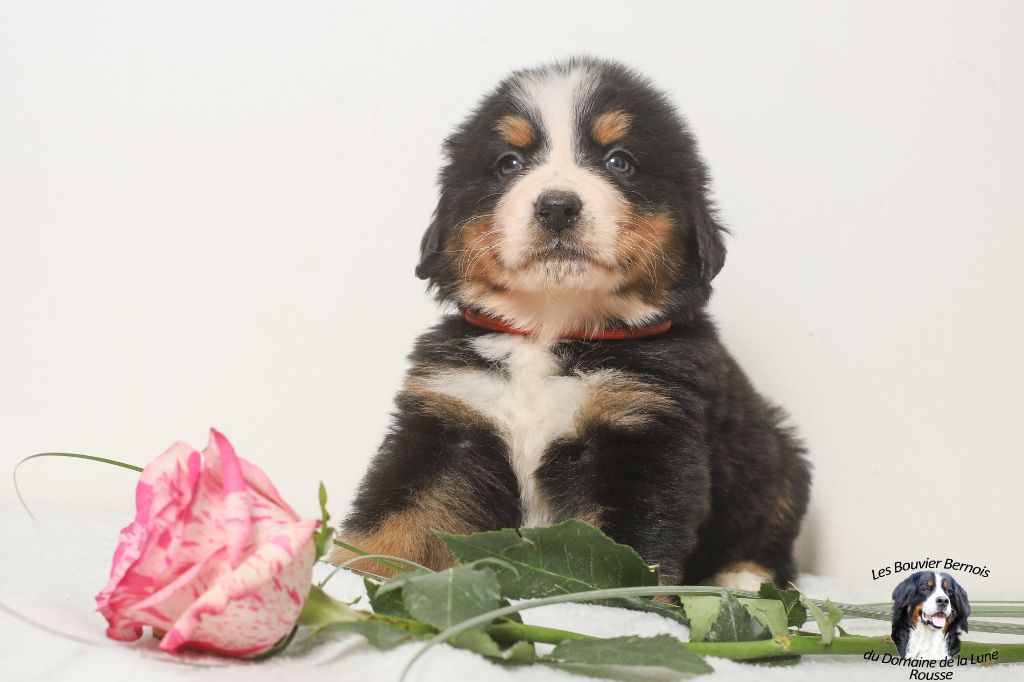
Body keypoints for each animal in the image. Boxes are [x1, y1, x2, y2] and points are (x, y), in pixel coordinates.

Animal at [329, 57, 811, 589]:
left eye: (619, 161)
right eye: (509, 163)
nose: (557, 206)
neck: (549, 329)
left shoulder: (643, 431)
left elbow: (619, 554)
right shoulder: (451, 417)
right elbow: (401, 512)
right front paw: (345, 576)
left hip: (782, 460)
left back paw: (743, 578)